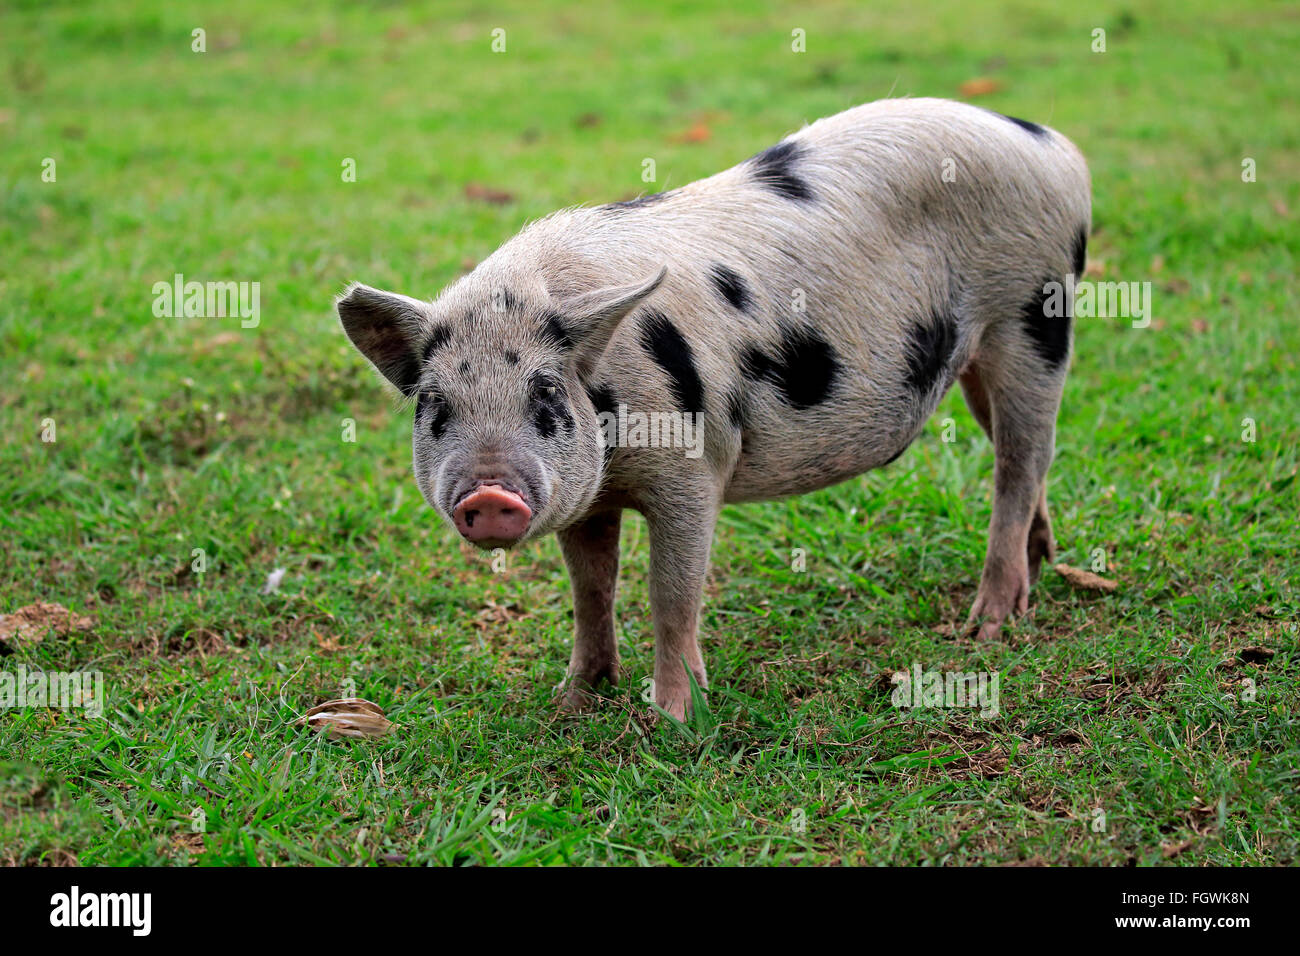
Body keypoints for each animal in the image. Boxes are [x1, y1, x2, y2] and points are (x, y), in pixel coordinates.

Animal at [335, 100, 1086, 723]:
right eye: (436, 405)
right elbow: (591, 589)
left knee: (1023, 458)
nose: (490, 494)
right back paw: (1042, 562)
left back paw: (990, 625)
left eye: (545, 394)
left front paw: (673, 721)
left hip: (1033, 316)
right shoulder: (589, 492)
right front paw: (572, 701)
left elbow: (671, 594)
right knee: (1020, 456)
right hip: (982, 353)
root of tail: (1053, 147)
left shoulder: (693, 469)